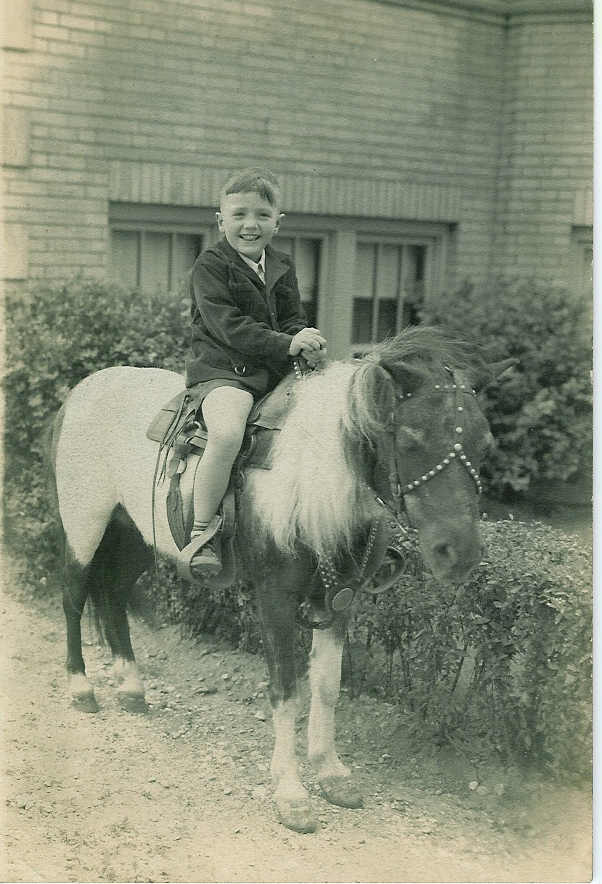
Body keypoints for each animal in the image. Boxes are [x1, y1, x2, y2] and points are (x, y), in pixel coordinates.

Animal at [49, 325, 501, 834]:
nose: (458, 554)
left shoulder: (341, 601)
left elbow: (326, 684)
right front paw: (291, 793)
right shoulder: (276, 600)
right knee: (73, 595)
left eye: (485, 445)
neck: (309, 477)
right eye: (410, 439)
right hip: (85, 525)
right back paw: (81, 688)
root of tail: (85, 389)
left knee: (113, 595)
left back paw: (131, 686)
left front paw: (331, 773)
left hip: (137, 535)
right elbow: (286, 689)